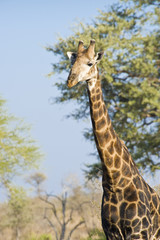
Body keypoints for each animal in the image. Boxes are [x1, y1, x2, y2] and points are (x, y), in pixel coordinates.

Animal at [66, 39, 160, 240]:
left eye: (90, 63)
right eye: (72, 62)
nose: (70, 80)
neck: (115, 180)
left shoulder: (138, 232)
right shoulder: (111, 232)